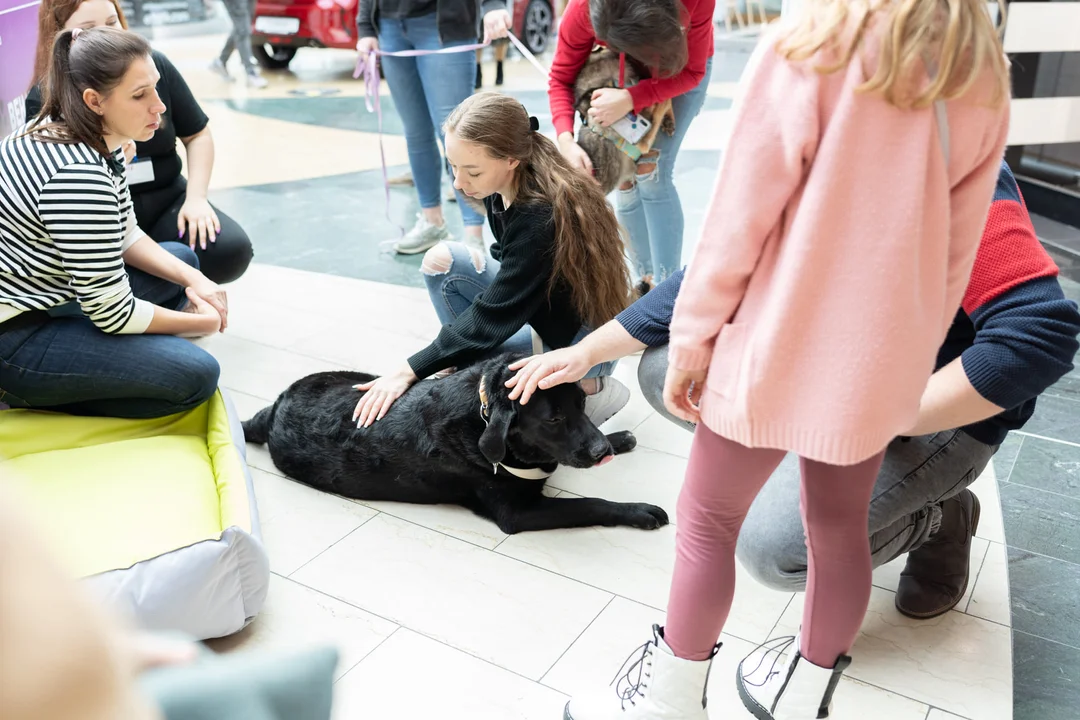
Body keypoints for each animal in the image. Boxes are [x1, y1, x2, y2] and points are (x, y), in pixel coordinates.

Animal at [243, 354, 665, 535]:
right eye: (553, 419)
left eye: (581, 404)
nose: (600, 451)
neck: (481, 414)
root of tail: (274, 409)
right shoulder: (517, 513)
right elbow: (590, 504)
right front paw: (638, 511)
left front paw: (618, 438)